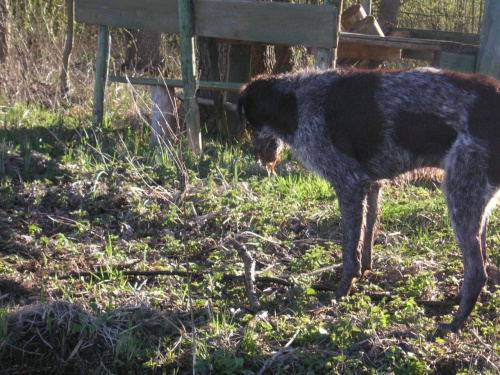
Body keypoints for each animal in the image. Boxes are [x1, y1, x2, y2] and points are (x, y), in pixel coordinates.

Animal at [237, 68, 500, 332]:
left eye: (249, 122)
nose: (261, 156)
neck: (294, 100)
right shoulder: (371, 185)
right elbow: (367, 237)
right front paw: (364, 274)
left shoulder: (349, 185)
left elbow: (349, 252)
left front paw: (341, 292)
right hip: (474, 200)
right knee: (482, 262)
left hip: (461, 196)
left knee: (477, 273)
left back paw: (454, 323)